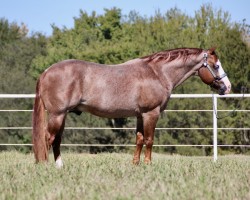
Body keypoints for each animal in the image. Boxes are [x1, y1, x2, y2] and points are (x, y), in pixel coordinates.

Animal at [32, 47, 231, 167]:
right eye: (216, 65)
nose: (227, 87)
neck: (157, 73)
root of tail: (46, 72)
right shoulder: (151, 113)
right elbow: (149, 140)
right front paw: (148, 164)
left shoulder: (140, 115)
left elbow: (139, 139)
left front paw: (135, 164)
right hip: (57, 115)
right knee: (48, 138)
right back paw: (46, 166)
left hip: (62, 115)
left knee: (56, 140)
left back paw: (59, 165)